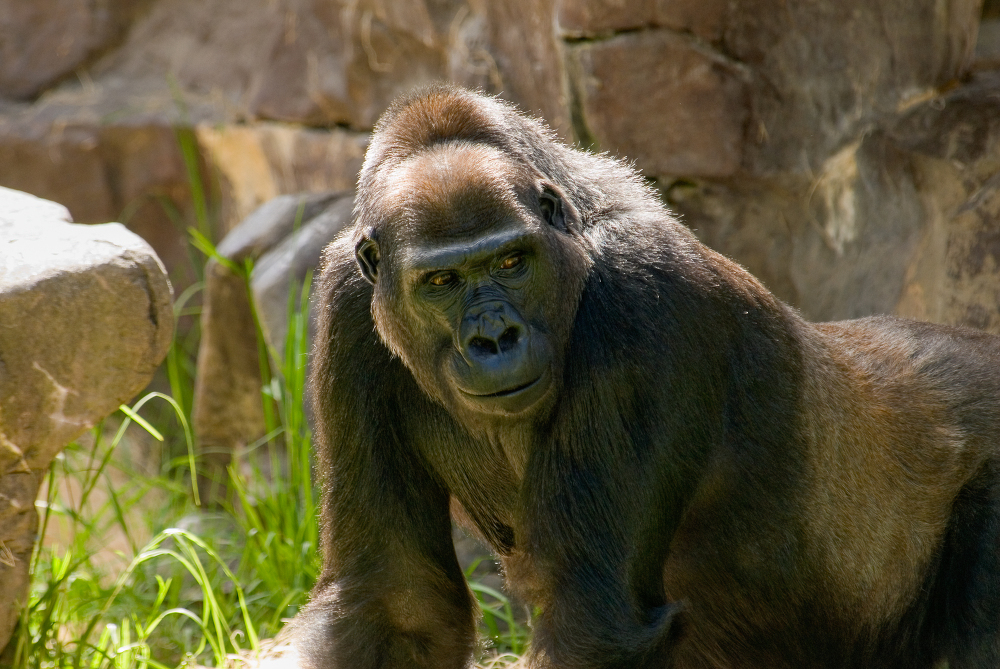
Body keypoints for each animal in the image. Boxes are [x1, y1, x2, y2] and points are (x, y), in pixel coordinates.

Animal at [292, 85, 1000, 668]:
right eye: (441, 282)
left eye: (511, 262)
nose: (494, 340)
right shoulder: (348, 300)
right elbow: (397, 599)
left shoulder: (642, 289)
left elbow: (593, 623)